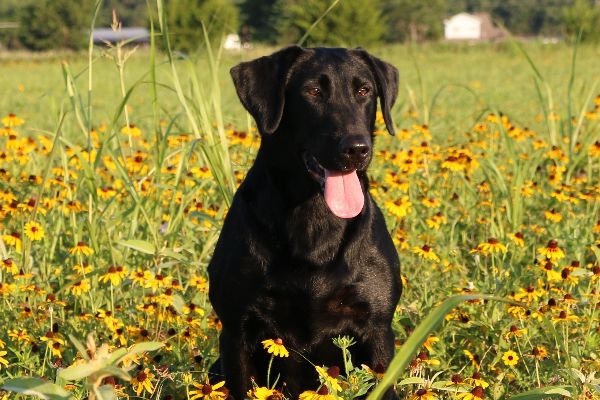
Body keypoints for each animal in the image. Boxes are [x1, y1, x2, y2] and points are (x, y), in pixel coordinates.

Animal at [209, 46, 400, 396]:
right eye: (312, 91)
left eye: (364, 91)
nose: (357, 148)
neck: (314, 218)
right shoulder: (236, 332)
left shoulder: (377, 329)